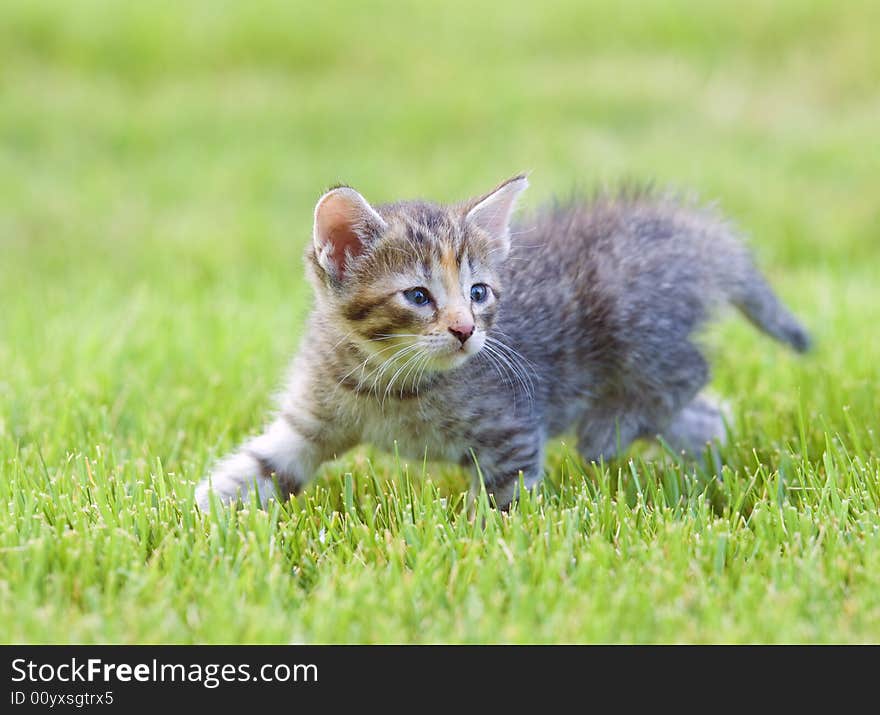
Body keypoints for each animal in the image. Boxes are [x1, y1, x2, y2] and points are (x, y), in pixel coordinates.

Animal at [194, 174, 812, 512]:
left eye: (479, 292)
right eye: (418, 296)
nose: (465, 329)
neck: (387, 383)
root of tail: (703, 236)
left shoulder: (510, 429)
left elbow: (505, 500)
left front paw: (494, 548)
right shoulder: (310, 419)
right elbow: (259, 466)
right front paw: (195, 518)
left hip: (633, 317)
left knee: (692, 368)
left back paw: (609, 430)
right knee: (703, 411)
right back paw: (702, 459)